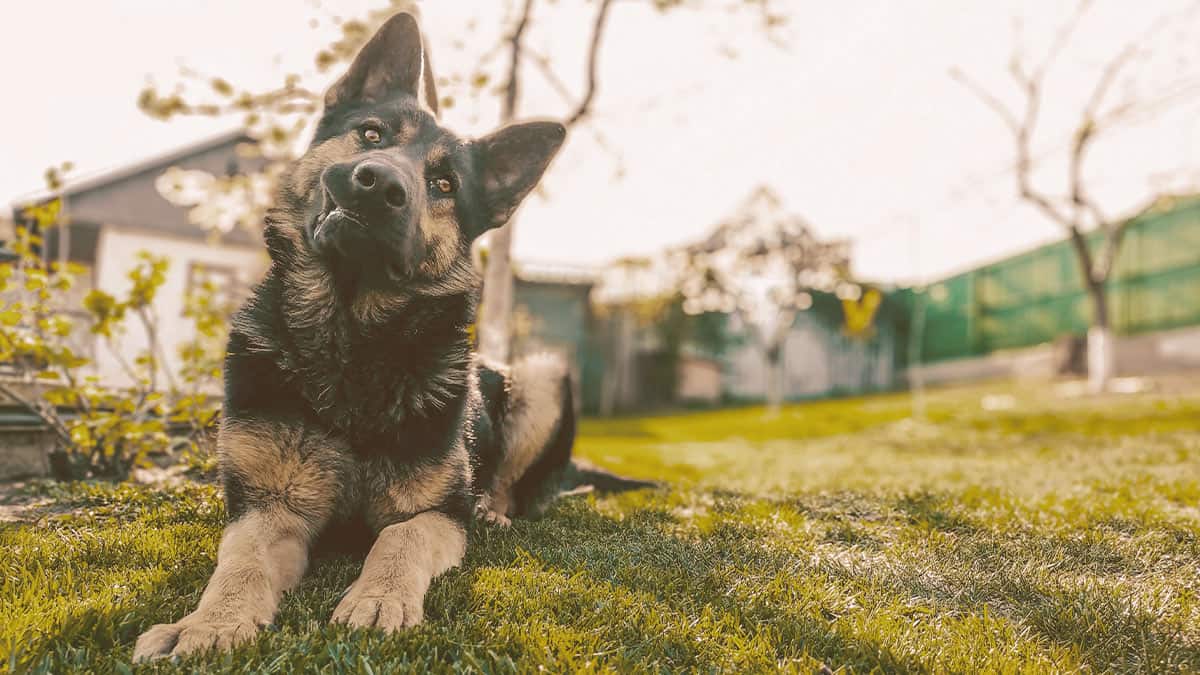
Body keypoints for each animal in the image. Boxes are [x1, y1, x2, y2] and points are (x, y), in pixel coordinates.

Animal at [133, 13, 619, 658]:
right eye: (371, 134)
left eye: (444, 184)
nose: (378, 183)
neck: (350, 343)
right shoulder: (268, 511)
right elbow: (240, 565)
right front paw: (209, 623)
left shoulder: (435, 514)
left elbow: (398, 541)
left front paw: (379, 597)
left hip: (543, 376)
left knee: (512, 487)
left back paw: (494, 510)